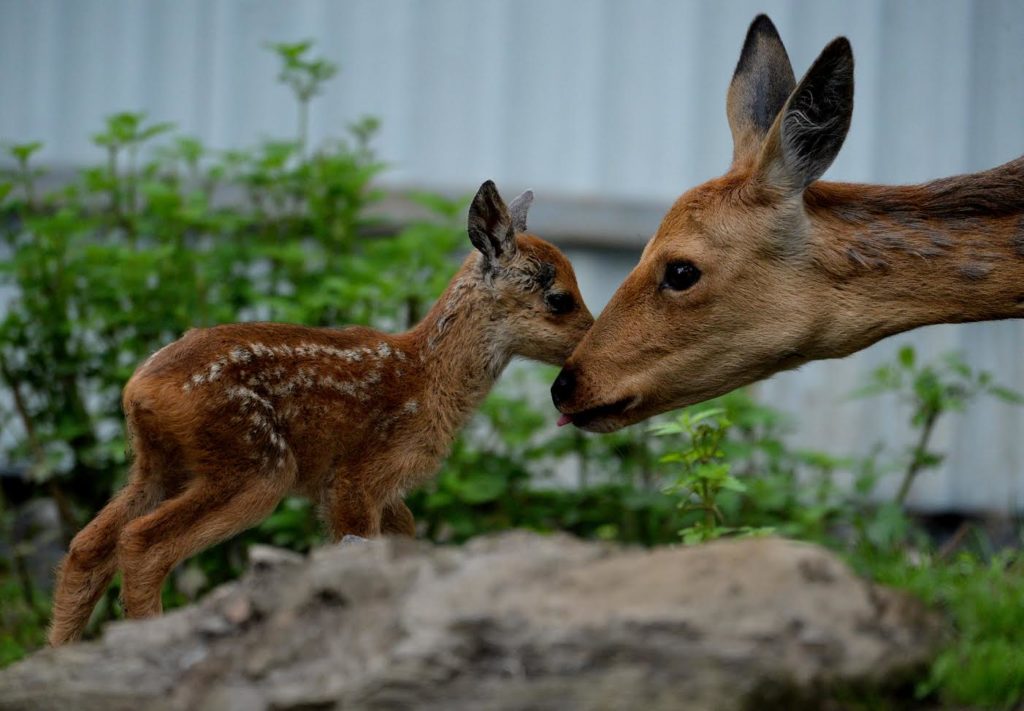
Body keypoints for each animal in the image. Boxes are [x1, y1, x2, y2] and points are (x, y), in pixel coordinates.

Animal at [49, 182, 593, 647]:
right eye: (559, 298)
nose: (589, 343)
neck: (428, 378)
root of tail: (138, 389)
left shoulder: (382, 492)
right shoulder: (356, 477)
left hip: (158, 465)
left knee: (86, 546)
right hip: (253, 463)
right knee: (141, 543)